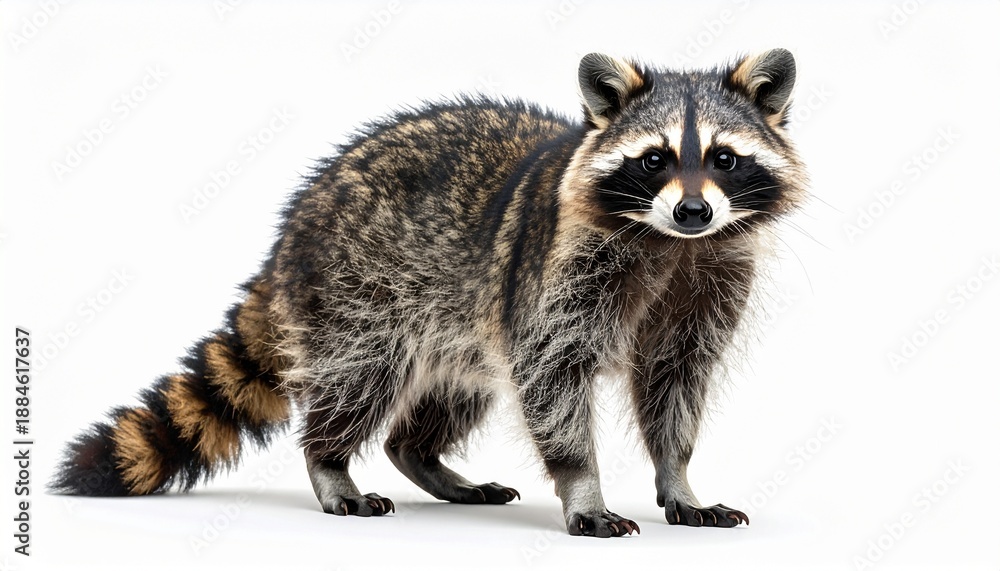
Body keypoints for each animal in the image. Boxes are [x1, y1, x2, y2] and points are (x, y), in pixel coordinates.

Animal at [52, 49, 805, 538]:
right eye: (653, 160)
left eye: (724, 158)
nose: (692, 211)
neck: (670, 243)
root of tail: (292, 229)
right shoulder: (556, 277)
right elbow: (552, 378)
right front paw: (582, 485)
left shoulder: (709, 282)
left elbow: (674, 382)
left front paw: (678, 477)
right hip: (359, 293)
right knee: (359, 380)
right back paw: (329, 462)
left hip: (456, 326)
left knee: (447, 398)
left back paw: (423, 457)